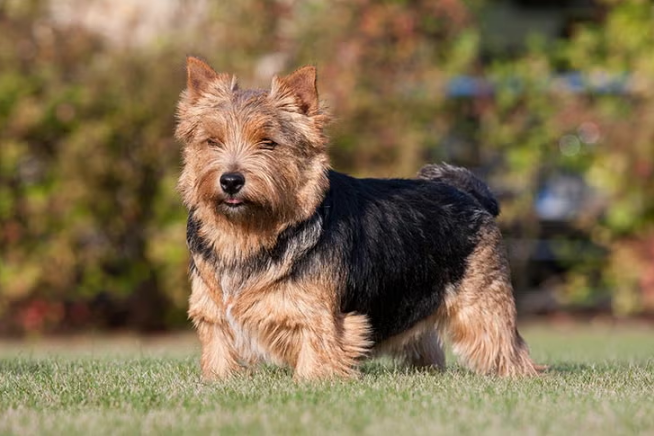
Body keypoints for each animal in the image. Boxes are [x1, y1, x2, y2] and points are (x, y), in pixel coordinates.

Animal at [176, 57, 544, 378]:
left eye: (268, 143)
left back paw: (519, 375)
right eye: (212, 141)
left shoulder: (320, 318)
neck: (248, 233)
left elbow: (316, 358)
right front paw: (218, 380)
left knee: (505, 344)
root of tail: (469, 192)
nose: (231, 180)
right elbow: (219, 355)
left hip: (481, 306)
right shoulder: (213, 314)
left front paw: (312, 383)